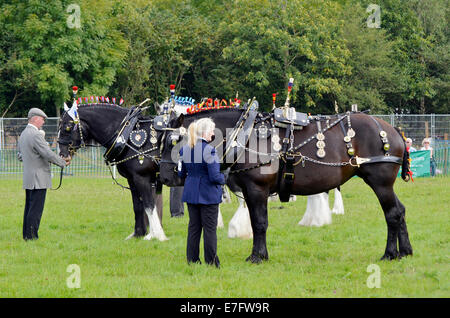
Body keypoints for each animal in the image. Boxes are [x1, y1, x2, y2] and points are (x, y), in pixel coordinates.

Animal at [157, 108, 412, 262]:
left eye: (173, 140)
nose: (164, 177)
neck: (244, 135)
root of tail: (393, 130)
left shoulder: (257, 189)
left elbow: (259, 223)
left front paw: (257, 256)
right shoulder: (250, 192)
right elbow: (255, 222)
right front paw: (260, 254)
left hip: (380, 182)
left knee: (391, 213)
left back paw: (390, 253)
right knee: (400, 211)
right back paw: (405, 251)